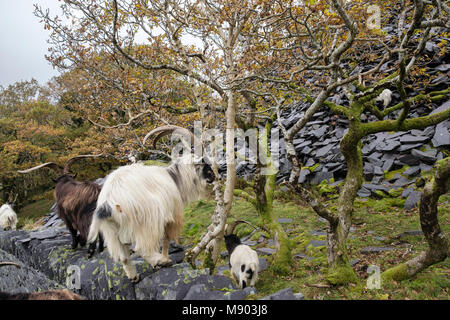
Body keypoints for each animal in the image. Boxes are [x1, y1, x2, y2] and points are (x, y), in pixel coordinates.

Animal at [88, 125, 216, 282]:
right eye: (204, 163)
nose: (213, 176)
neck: (174, 179)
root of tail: (108, 202)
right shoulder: (171, 216)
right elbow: (166, 239)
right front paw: (165, 257)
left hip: (112, 231)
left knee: (124, 257)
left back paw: (134, 277)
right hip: (146, 222)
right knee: (141, 248)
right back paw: (161, 261)